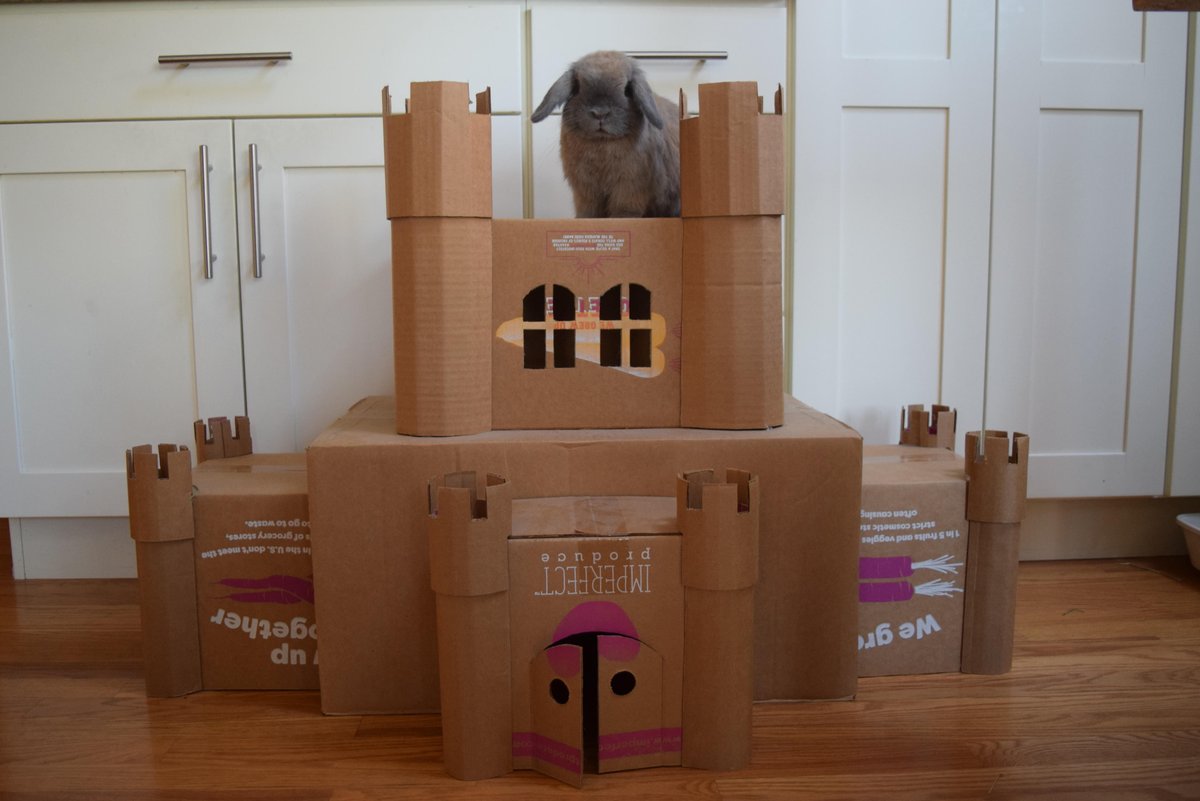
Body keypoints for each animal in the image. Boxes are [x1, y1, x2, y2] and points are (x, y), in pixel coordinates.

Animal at [532, 51, 676, 217]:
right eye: (577, 87)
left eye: (627, 90)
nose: (600, 113)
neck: (601, 142)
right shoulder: (585, 190)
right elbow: (589, 209)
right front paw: (584, 218)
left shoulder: (630, 186)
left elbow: (625, 206)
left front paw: (622, 217)